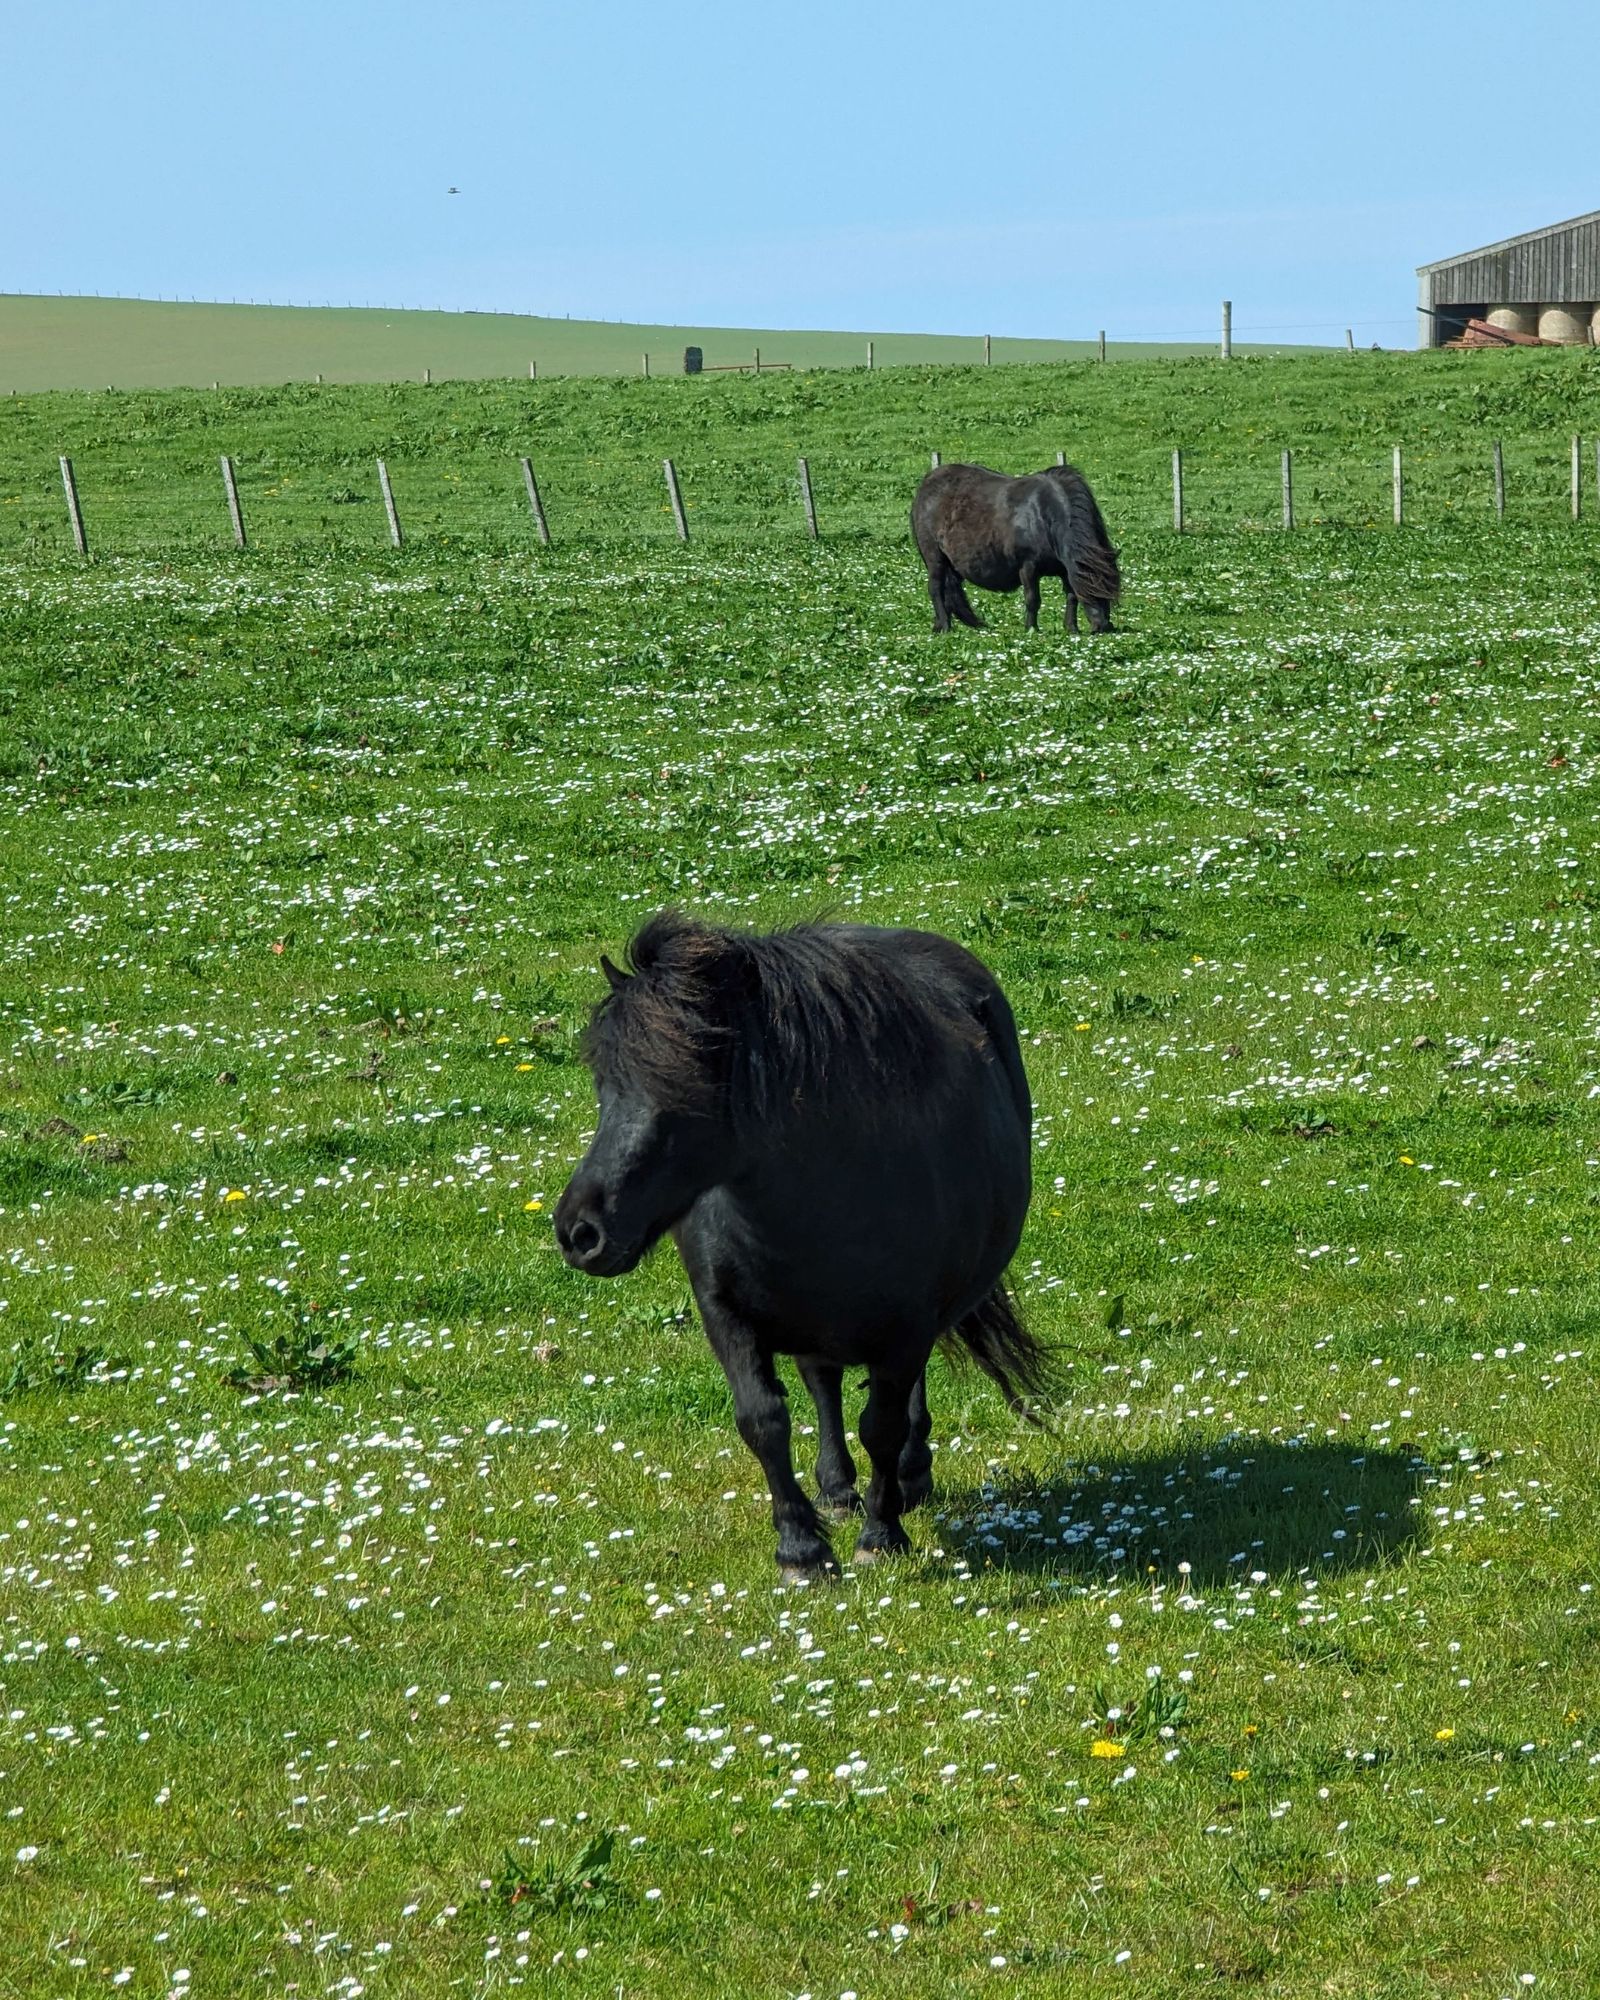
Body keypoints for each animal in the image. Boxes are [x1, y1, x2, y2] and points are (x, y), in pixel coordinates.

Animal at [554, 911, 1050, 1578]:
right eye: (606, 1082)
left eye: (690, 1080)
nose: (580, 1231)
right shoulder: (725, 1314)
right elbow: (763, 1420)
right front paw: (802, 1548)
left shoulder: (906, 1326)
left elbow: (882, 1426)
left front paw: (880, 1534)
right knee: (822, 1381)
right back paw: (836, 1487)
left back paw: (909, 1477)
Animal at [912, 460, 1120, 635]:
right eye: (1094, 588)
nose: (1104, 626)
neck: (1044, 516)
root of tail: (926, 484)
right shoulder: (1028, 567)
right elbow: (1032, 599)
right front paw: (1031, 629)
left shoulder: (1065, 569)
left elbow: (1071, 597)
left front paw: (1072, 629)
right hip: (935, 557)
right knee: (936, 588)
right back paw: (945, 626)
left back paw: (939, 625)